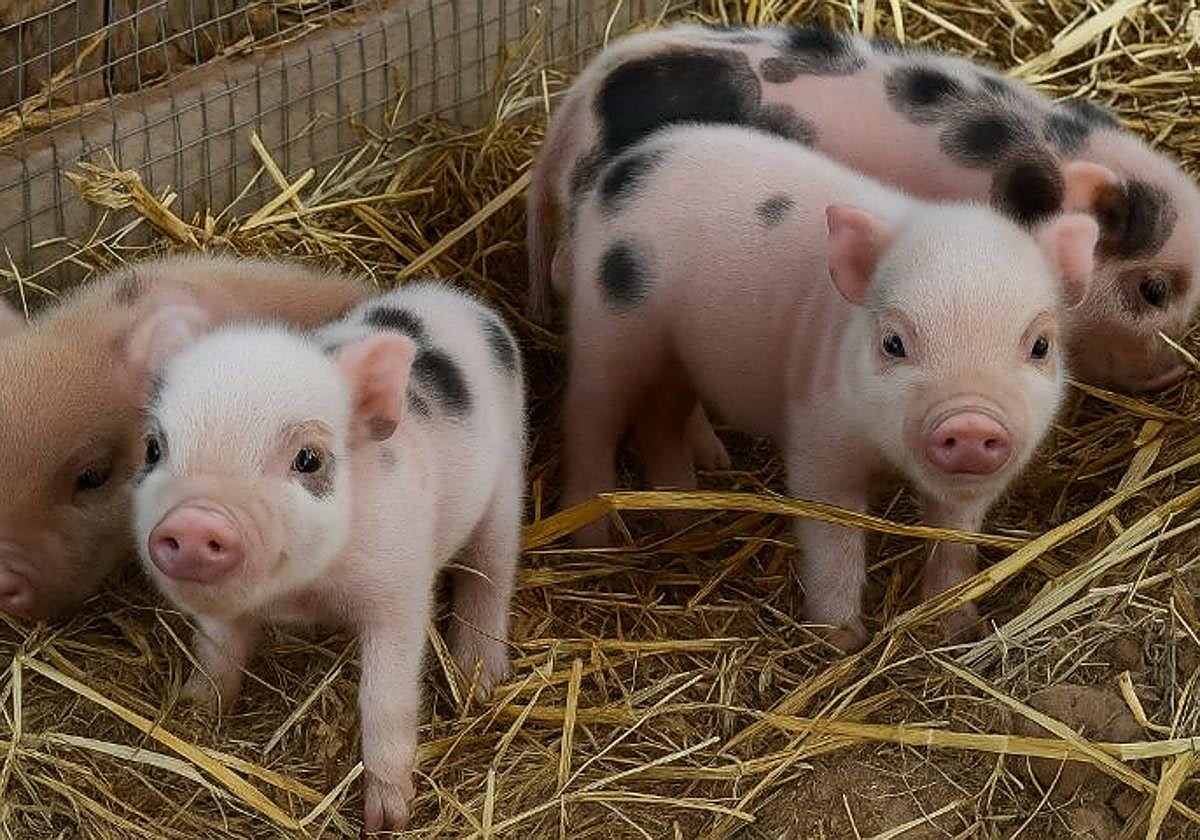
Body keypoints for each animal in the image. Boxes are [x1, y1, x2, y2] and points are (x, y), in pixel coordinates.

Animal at [131, 280, 526, 831]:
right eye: (153, 449)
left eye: (308, 459)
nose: (193, 522)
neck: (303, 594)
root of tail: (462, 299)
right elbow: (216, 653)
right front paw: (194, 714)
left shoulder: (399, 587)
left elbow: (385, 698)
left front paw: (387, 821)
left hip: (509, 475)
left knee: (491, 570)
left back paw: (481, 681)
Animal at [559, 124, 1099, 650]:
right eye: (893, 342)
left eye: (1041, 346)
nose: (970, 423)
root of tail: (626, 165)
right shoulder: (821, 437)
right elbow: (833, 539)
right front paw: (843, 642)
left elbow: (955, 541)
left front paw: (958, 627)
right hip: (608, 328)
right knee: (588, 419)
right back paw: (595, 538)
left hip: (677, 356)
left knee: (660, 419)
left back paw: (691, 509)